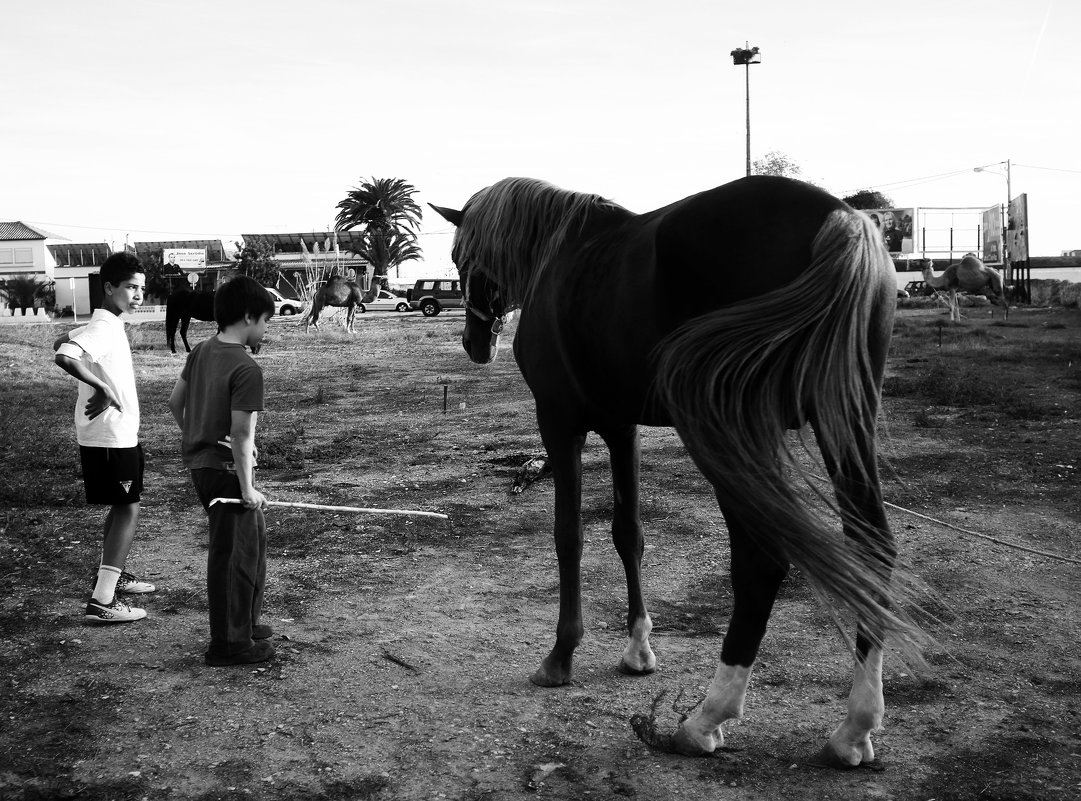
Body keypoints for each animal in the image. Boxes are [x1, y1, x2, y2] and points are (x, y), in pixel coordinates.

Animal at [430, 178, 921, 765]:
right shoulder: (622, 428)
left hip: (731, 436)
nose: (473, 343)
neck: (560, 253)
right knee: (873, 548)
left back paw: (707, 718)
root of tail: (838, 219)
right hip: (842, 422)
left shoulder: (560, 423)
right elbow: (628, 533)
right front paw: (638, 648)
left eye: (460, 259)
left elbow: (568, 536)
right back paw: (855, 727)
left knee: (760, 561)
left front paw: (561, 655)